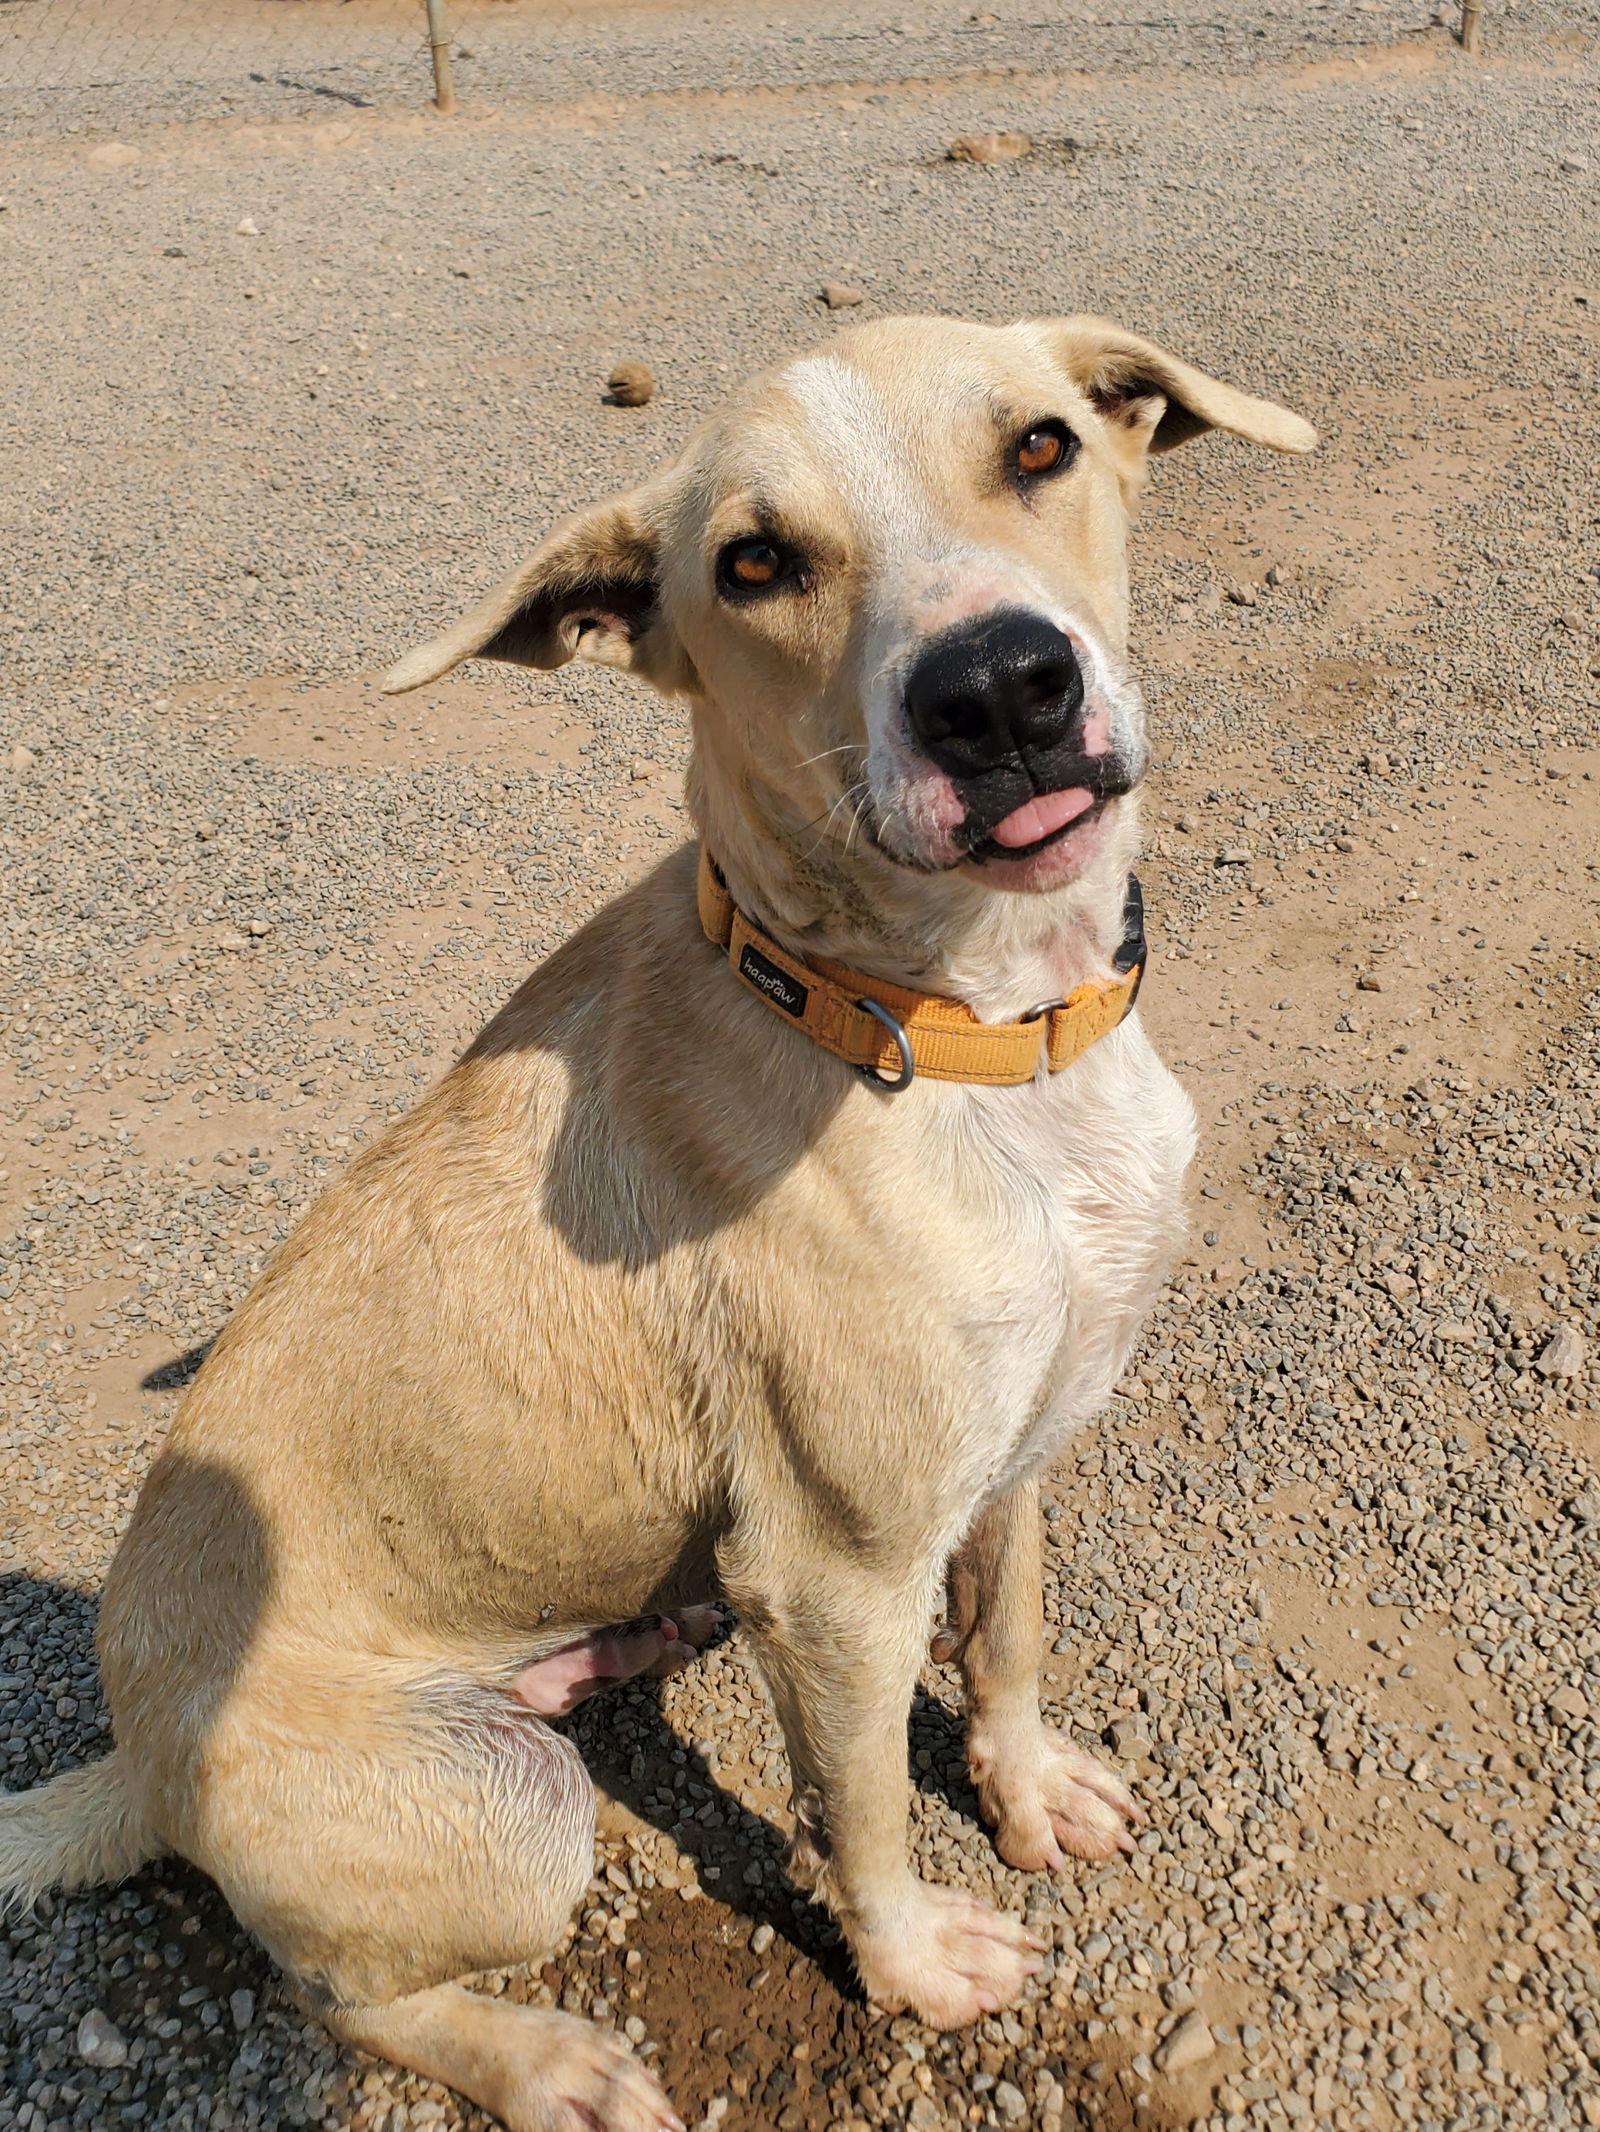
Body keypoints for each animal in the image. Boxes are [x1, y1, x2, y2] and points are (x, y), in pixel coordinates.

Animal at [0, 315, 1314, 2132]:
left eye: (1041, 446)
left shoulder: (1018, 1449)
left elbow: (1011, 1636)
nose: (998, 689)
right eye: (752, 564)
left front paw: (1031, 1789)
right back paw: (548, 2061)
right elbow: (861, 1810)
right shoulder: (835, 1575)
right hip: (511, 1816)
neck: (949, 1031)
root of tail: (135, 1753)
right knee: (334, 1993)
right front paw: (915, 1963)